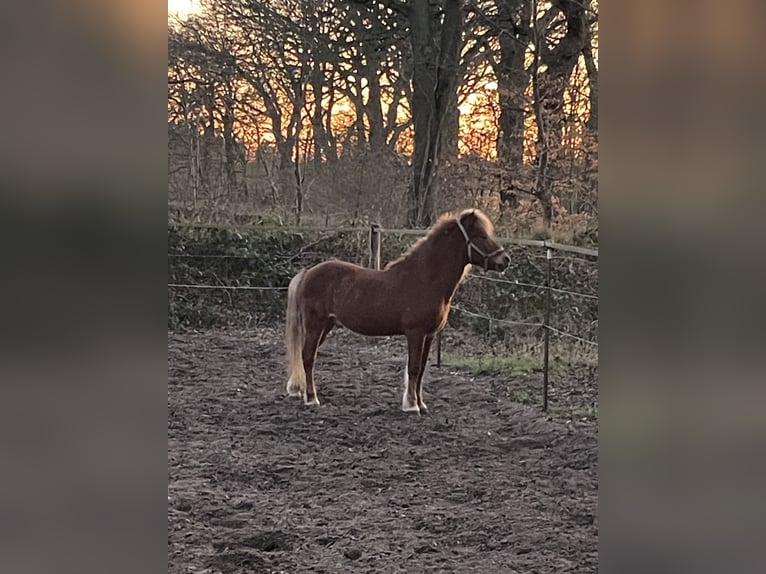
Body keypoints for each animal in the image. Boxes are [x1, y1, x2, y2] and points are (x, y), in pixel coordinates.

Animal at [284, 208, 510, 413]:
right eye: (482, 236)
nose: (505, 260)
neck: (425, 280)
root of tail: (308, 272)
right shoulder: (415, 333)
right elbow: (414, 368)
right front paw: (411, 406)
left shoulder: (429, 335)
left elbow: (422, 370)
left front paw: (421, 404)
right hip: (315, 324)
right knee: (308, 357)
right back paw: (312, 399)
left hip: (326, 325)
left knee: (306, 355)